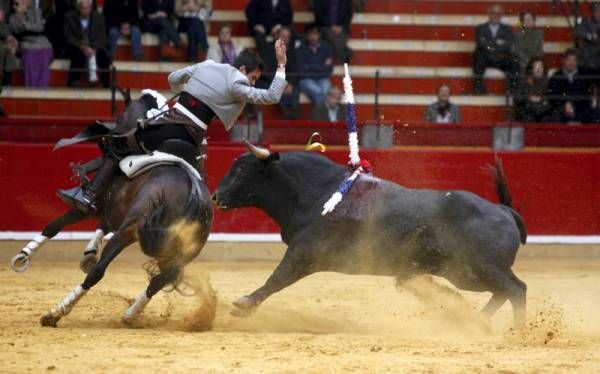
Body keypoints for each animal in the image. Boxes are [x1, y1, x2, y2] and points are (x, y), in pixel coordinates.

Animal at [9, 94, 213, 328]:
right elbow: (100, 227)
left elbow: (55, 225)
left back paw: (56, 313)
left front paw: (22, 256)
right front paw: (89, 252)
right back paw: (130, 315)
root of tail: (193, 194)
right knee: (159, 280)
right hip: (185, 251)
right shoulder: (112, 211)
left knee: (99, 271)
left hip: (128, 231)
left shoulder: (93, 207)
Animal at [213, 145, 528, 328]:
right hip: (465, 273)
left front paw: (244, 304)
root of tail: (503, 210)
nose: (216, 196)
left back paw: (515, 332)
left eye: (242, 169)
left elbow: (277, 277)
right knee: (505, 291)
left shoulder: (304, 252)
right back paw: (476, 321)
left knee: (517, 289)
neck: (314, 191)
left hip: (476, 269)